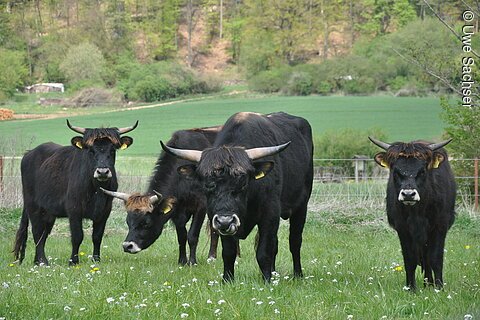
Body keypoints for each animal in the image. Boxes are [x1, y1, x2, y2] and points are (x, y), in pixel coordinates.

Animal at [13, 120, 137, 264]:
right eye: (90, 150)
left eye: (112, 150)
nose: (102, 172)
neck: (96, 190)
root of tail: (28, 154)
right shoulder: (74, 210)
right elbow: (77, 236)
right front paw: (73, 261)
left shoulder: (105, 211)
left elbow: (97, 236)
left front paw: (96, 259)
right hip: (33, 206)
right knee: (37, 232)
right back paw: (43, 262)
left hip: (48, 212)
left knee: (43, 235)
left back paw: (38, 261)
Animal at [102, 127, 235, 264]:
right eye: (128, 221)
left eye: (146, 223)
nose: (127, 246)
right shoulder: (177, 212)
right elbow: (182, 237)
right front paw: (182, 261)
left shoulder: (201, 207)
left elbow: (192, 235)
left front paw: (192, 262)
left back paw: (213, 257)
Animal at [161, 111, 314, 282]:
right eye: (207, 184)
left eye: (243, 183)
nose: (225, 221)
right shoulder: (217, 219)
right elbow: (229, 252)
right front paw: (227, 279)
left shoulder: (270, 214)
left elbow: (264, 251)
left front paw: (267, 280)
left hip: (301, 206)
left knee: (295, 241)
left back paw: (297, 274)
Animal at [370, 136, 456, 292]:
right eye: (396, 171)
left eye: (422, 171)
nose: (408, 194)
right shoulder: (403, 228)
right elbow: (409, 259)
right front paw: (411, 288)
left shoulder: (440, 226)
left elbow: (435, 257)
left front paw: (439, 288)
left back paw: (430, 284)